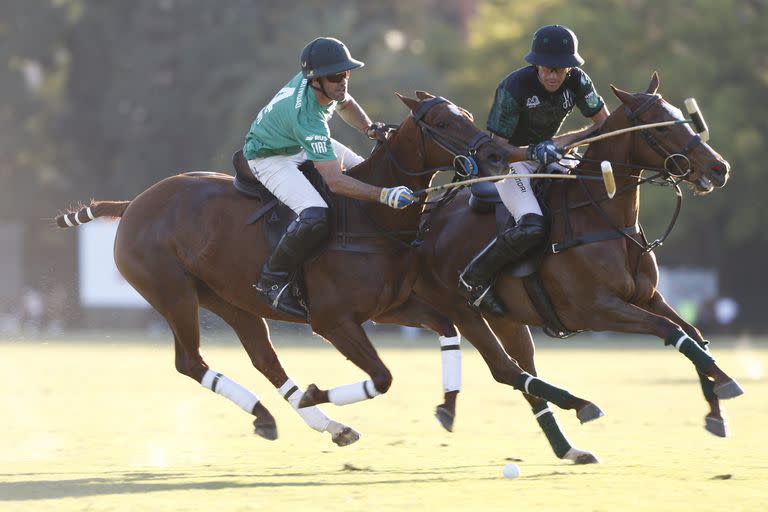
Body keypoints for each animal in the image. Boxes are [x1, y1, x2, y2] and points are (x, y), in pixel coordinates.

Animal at [54, 92, 608, 448]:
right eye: (443, 123)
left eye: (467, 114)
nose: (498, 153)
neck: (372, 217)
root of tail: (133, 204)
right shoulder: (333, 320)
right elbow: (383, 377)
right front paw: (322, 390)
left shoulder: (393, 306)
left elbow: (452, 333)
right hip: (173, 294)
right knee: (190, 362)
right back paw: (284, 411)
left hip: (229, 299)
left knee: (265, 360)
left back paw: (306, 421)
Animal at [412, 72, 740, 460]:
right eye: (659, 127)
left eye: (681, 116)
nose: (719, 168)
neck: (604, 217)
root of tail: (425, 219)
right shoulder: (597, 310)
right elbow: (670, 330)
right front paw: (727, 383)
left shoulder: (647, 297)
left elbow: (695, 333)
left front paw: (716, 410)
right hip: (461, 310)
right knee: (505, 369)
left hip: (507, 319)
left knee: (524, 371)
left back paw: (568, 446)